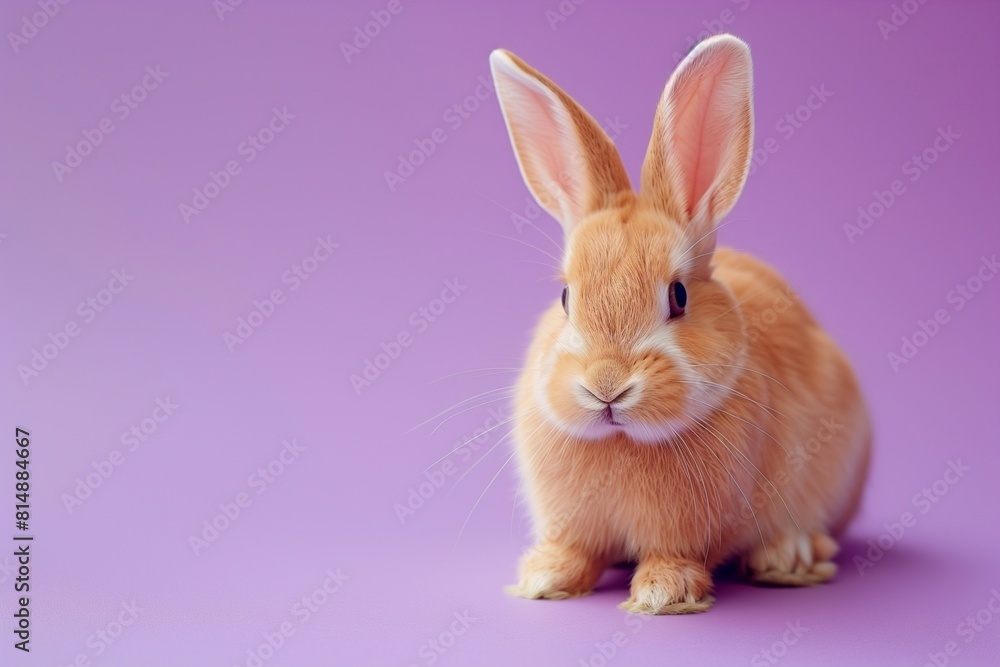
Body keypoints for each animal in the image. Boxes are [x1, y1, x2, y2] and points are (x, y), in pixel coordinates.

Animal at [489, 34, 871, 615]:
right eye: (565, 297)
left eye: (678, 295)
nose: (606, 386)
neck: (623, 441)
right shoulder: (573, 523)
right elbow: (575, 549)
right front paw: (544, 578)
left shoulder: (693, 528)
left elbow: (676, 554)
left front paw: (661, 595)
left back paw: (787, 557)